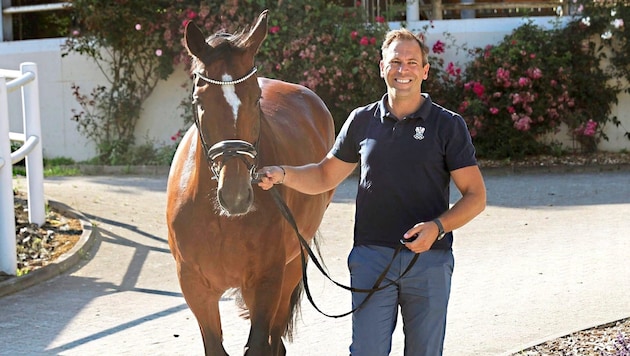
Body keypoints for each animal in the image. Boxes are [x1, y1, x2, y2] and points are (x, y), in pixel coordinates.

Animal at [165, 9, 338, 354]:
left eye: (256, 98)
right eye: (199, 100)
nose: (235, 195)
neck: (221, 220)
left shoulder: (266, 282)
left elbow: (259, 344)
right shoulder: (195, 288)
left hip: (291, 267)